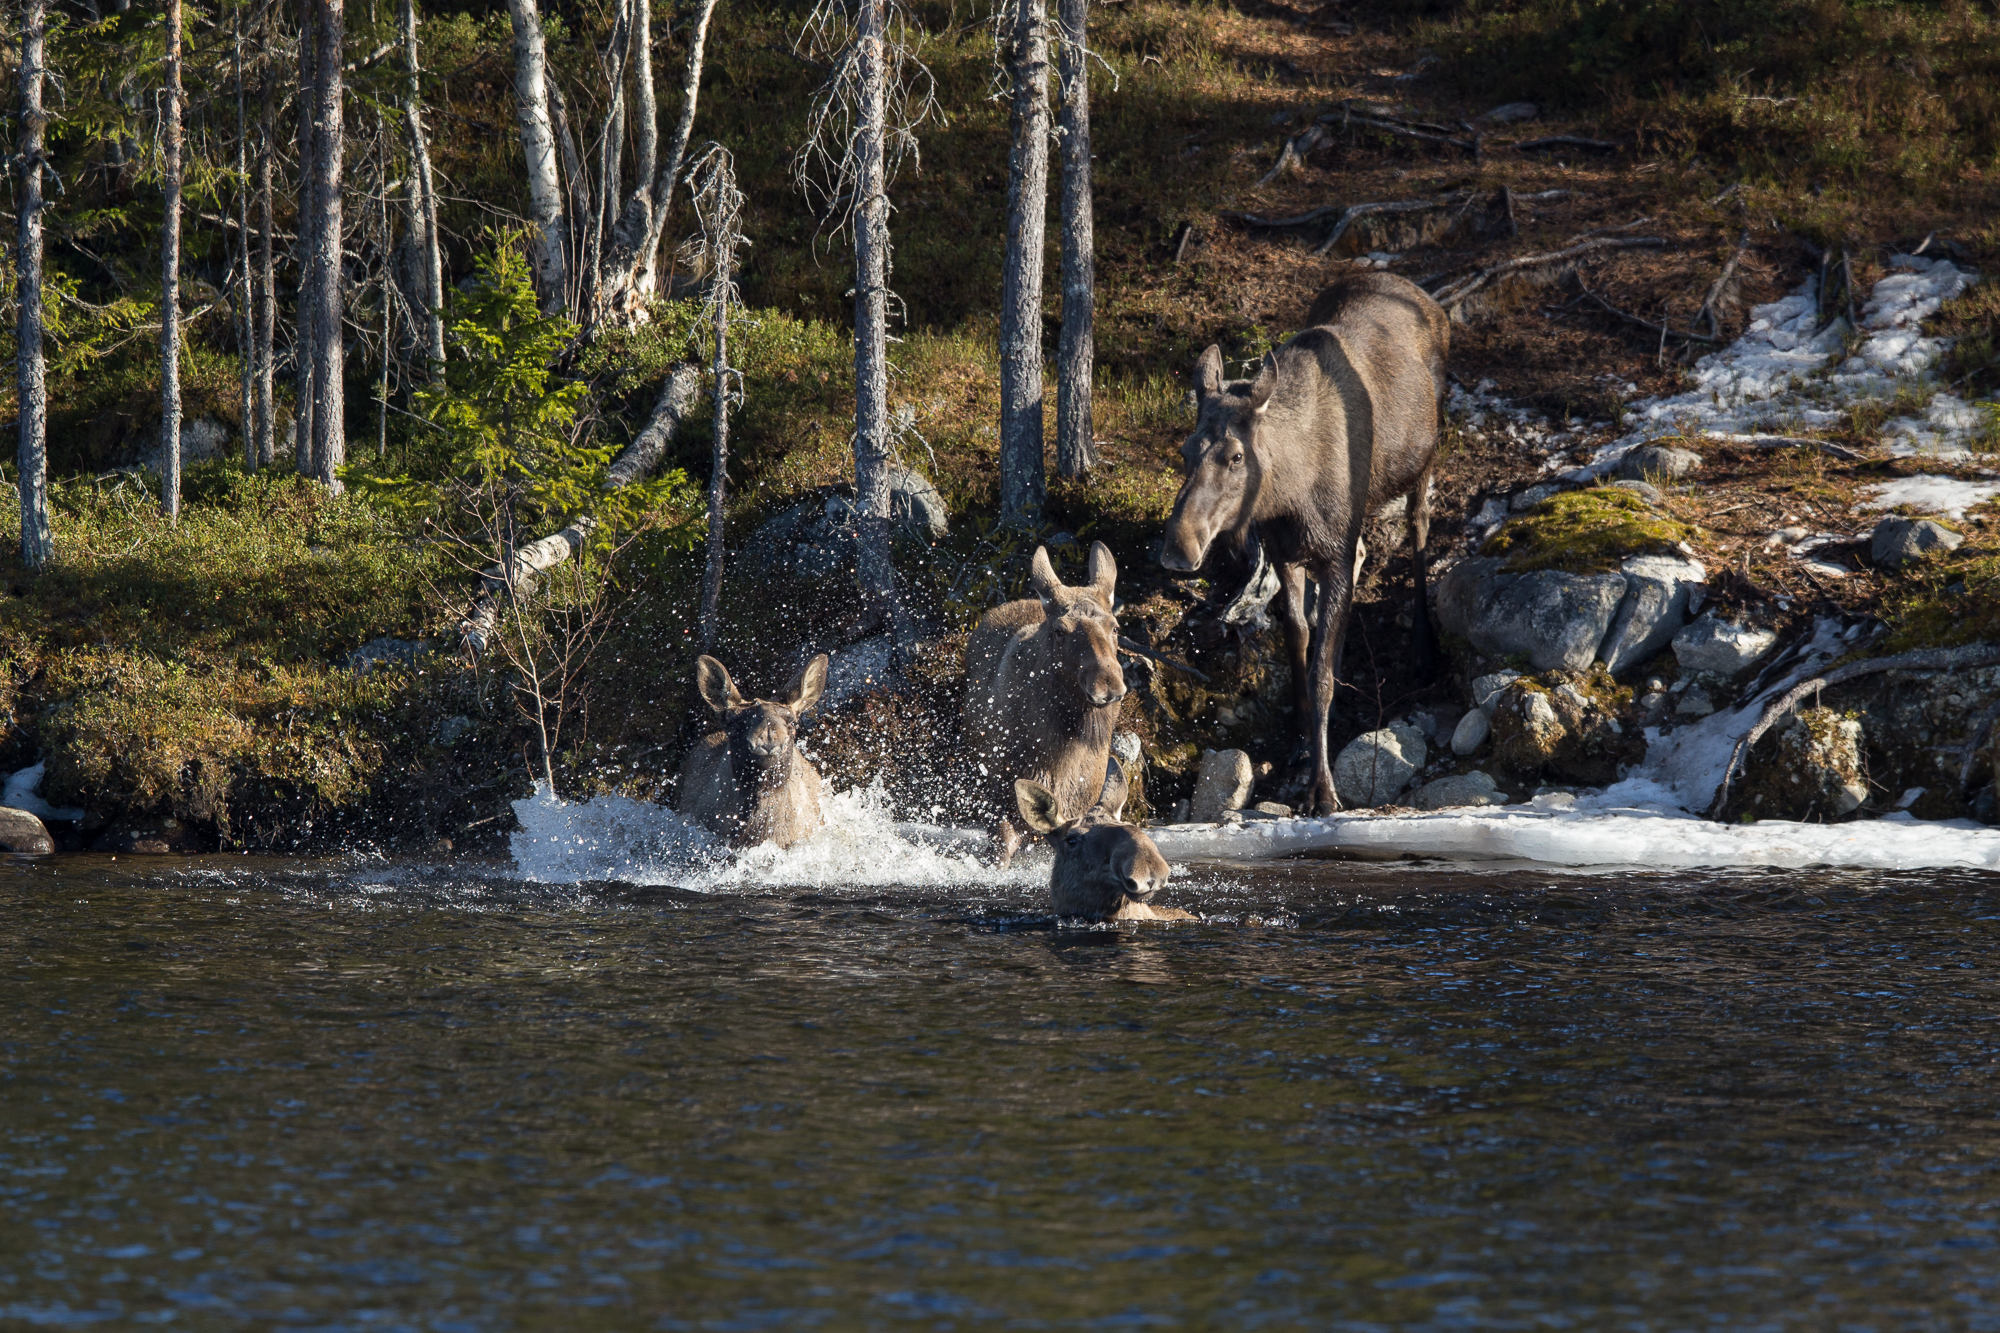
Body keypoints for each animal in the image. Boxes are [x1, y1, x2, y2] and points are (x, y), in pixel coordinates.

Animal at [1160, 272, 1448, 816]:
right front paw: (1297, 734)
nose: (1177, 549)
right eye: (1185, 450)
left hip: (1424, 459)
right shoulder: (1283, 551)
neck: (1291, 493)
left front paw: (1322, 788)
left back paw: (1424, 649)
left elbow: (1319, 675)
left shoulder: (1331, 553)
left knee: (1419, 526)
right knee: (1361, 563)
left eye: (1235, 456)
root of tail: (1426, 296)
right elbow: (1297, 635)